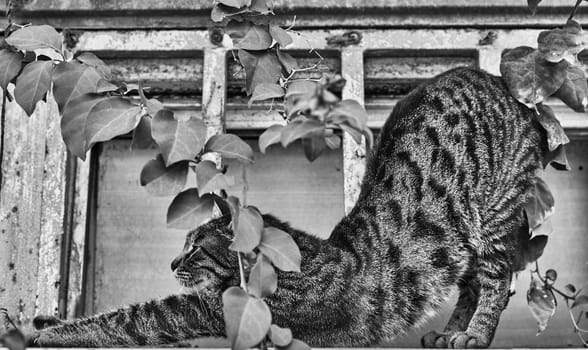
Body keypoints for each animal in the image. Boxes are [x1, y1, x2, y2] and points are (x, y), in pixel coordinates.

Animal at [0, 67, 548, 348]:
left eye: (194, 248)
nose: (172, 262)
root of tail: (489, 75)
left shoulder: (208, 308)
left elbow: (125, 319)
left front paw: (39, 332)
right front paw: (44, 322)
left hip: (494, 213)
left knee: (497, 279)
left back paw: (474, 334)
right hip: (459, 238)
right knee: (470, 283)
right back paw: (452, 331)